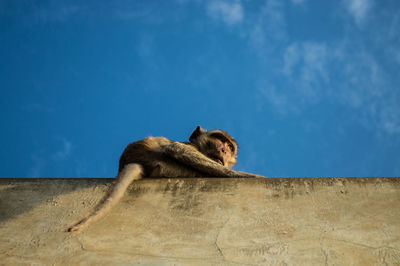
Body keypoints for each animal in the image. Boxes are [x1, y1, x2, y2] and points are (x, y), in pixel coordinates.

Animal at [67, 125, 264, 232]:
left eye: (229, 147)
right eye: (219, 140)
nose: (223, 150)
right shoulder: (188, 148)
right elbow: (178, 149)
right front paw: (252, 175)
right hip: (169, 166)